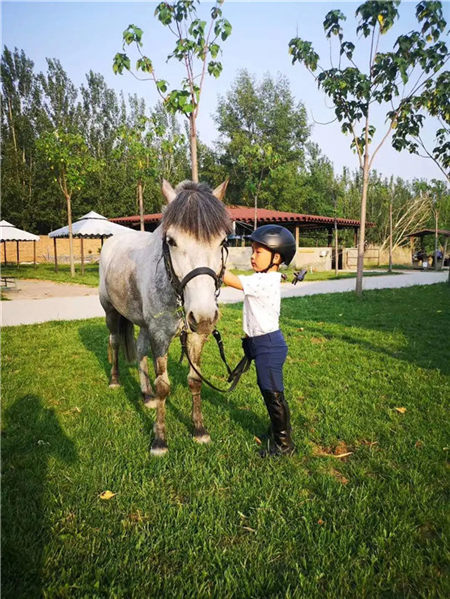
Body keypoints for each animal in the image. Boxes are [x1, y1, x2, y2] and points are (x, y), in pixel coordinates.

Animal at [99, 180, 232, 455]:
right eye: (171, 241)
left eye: (223, 241)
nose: (204, 316)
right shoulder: (160, 334)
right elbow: (163, 385)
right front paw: (159, 439)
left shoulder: (193, 335)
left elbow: (195, 380)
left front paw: (199, 429)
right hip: (111, 311)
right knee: (114, 341)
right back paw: (115, 381)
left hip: (143, 323)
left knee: (140, 350)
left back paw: (146, 395)